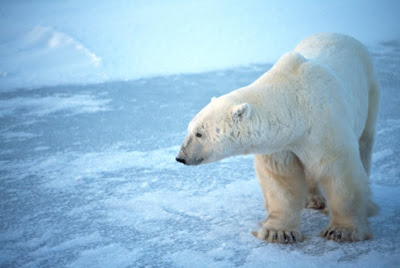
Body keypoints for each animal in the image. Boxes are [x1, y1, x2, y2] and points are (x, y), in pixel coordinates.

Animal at [177, 33, 380, 243]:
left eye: (199, 133)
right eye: (189, 128)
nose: (181, 157)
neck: (296, 106)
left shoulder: (325, 125)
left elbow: (339, 172)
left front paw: (340, 231)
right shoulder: (282, 143)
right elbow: (281, 179)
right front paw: (278, 232)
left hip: (370, 91)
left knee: (364, 144)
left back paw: (368, 204)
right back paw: (312, 199)